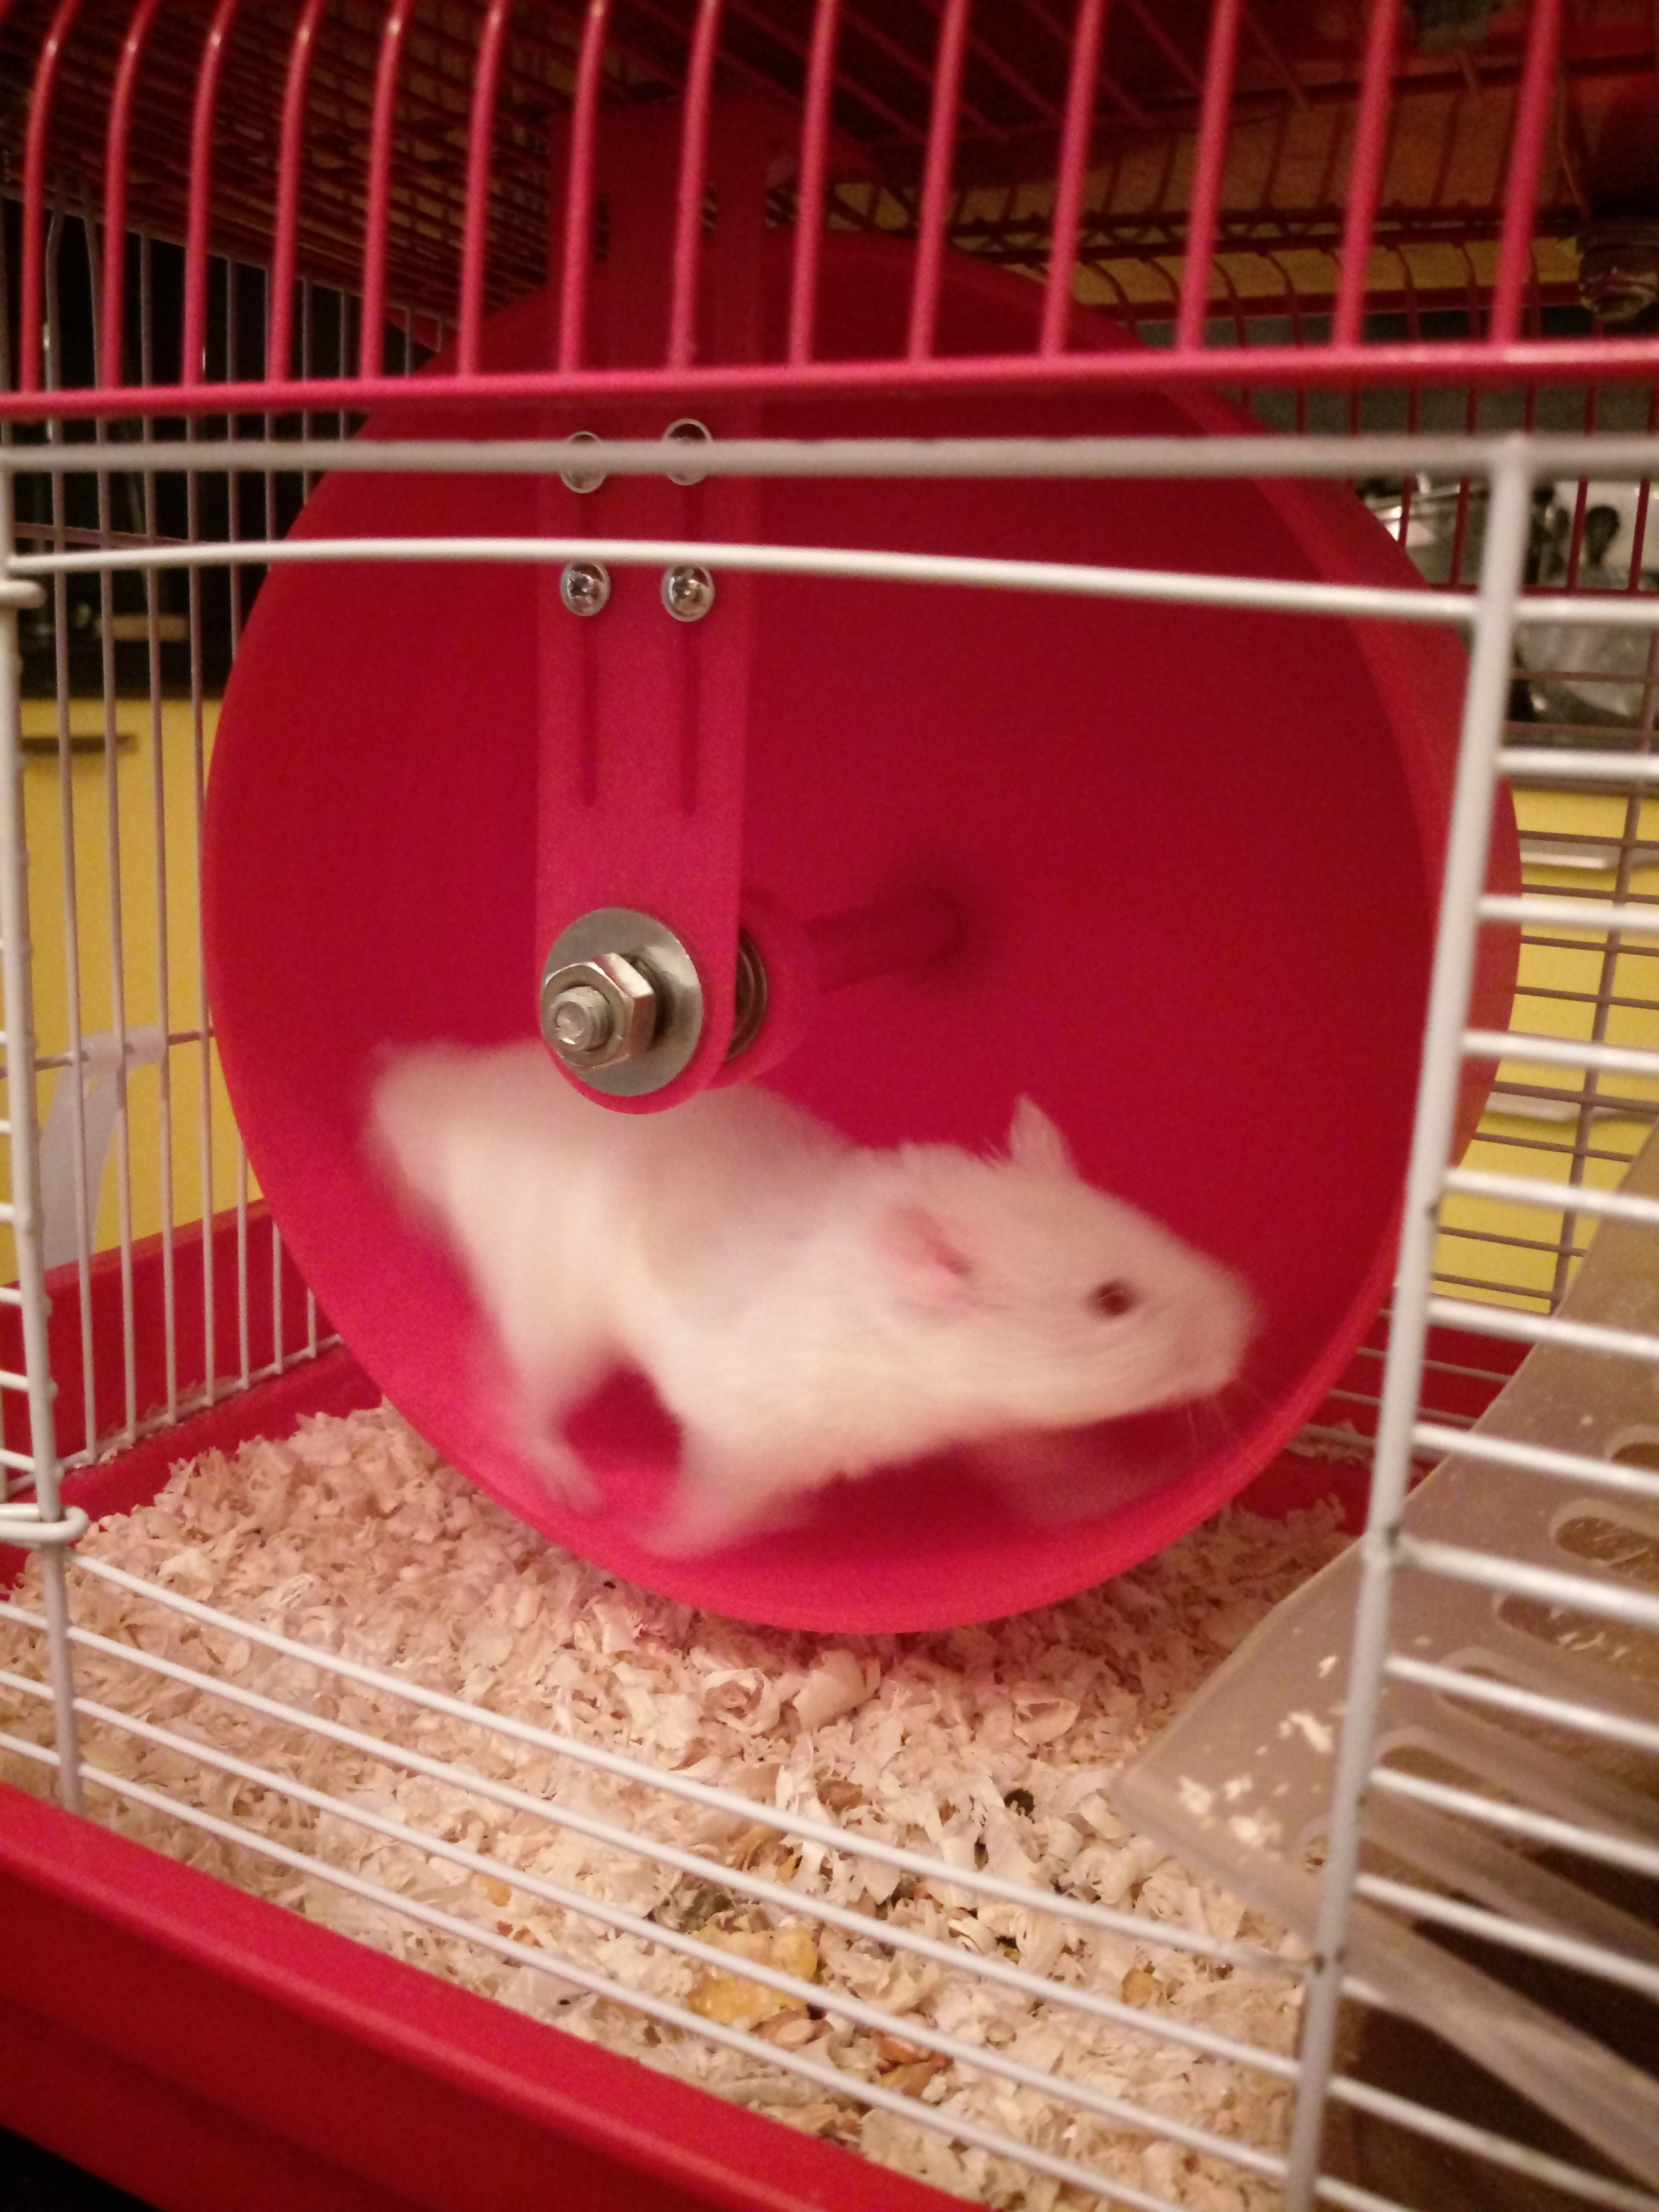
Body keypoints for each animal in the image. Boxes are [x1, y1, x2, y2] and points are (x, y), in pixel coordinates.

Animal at [370, 1040, 1255, 1555]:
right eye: (1112, 1300)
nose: (1251, 1327)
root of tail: (441, 1101)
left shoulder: (998, 1429)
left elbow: (1046, 1474)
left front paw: (1131, 1485)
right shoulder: (741, 1442)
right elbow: (709, 1513)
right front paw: (665, 1540)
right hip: (556, 1324)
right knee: (510, 1390)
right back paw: (573, 1486)